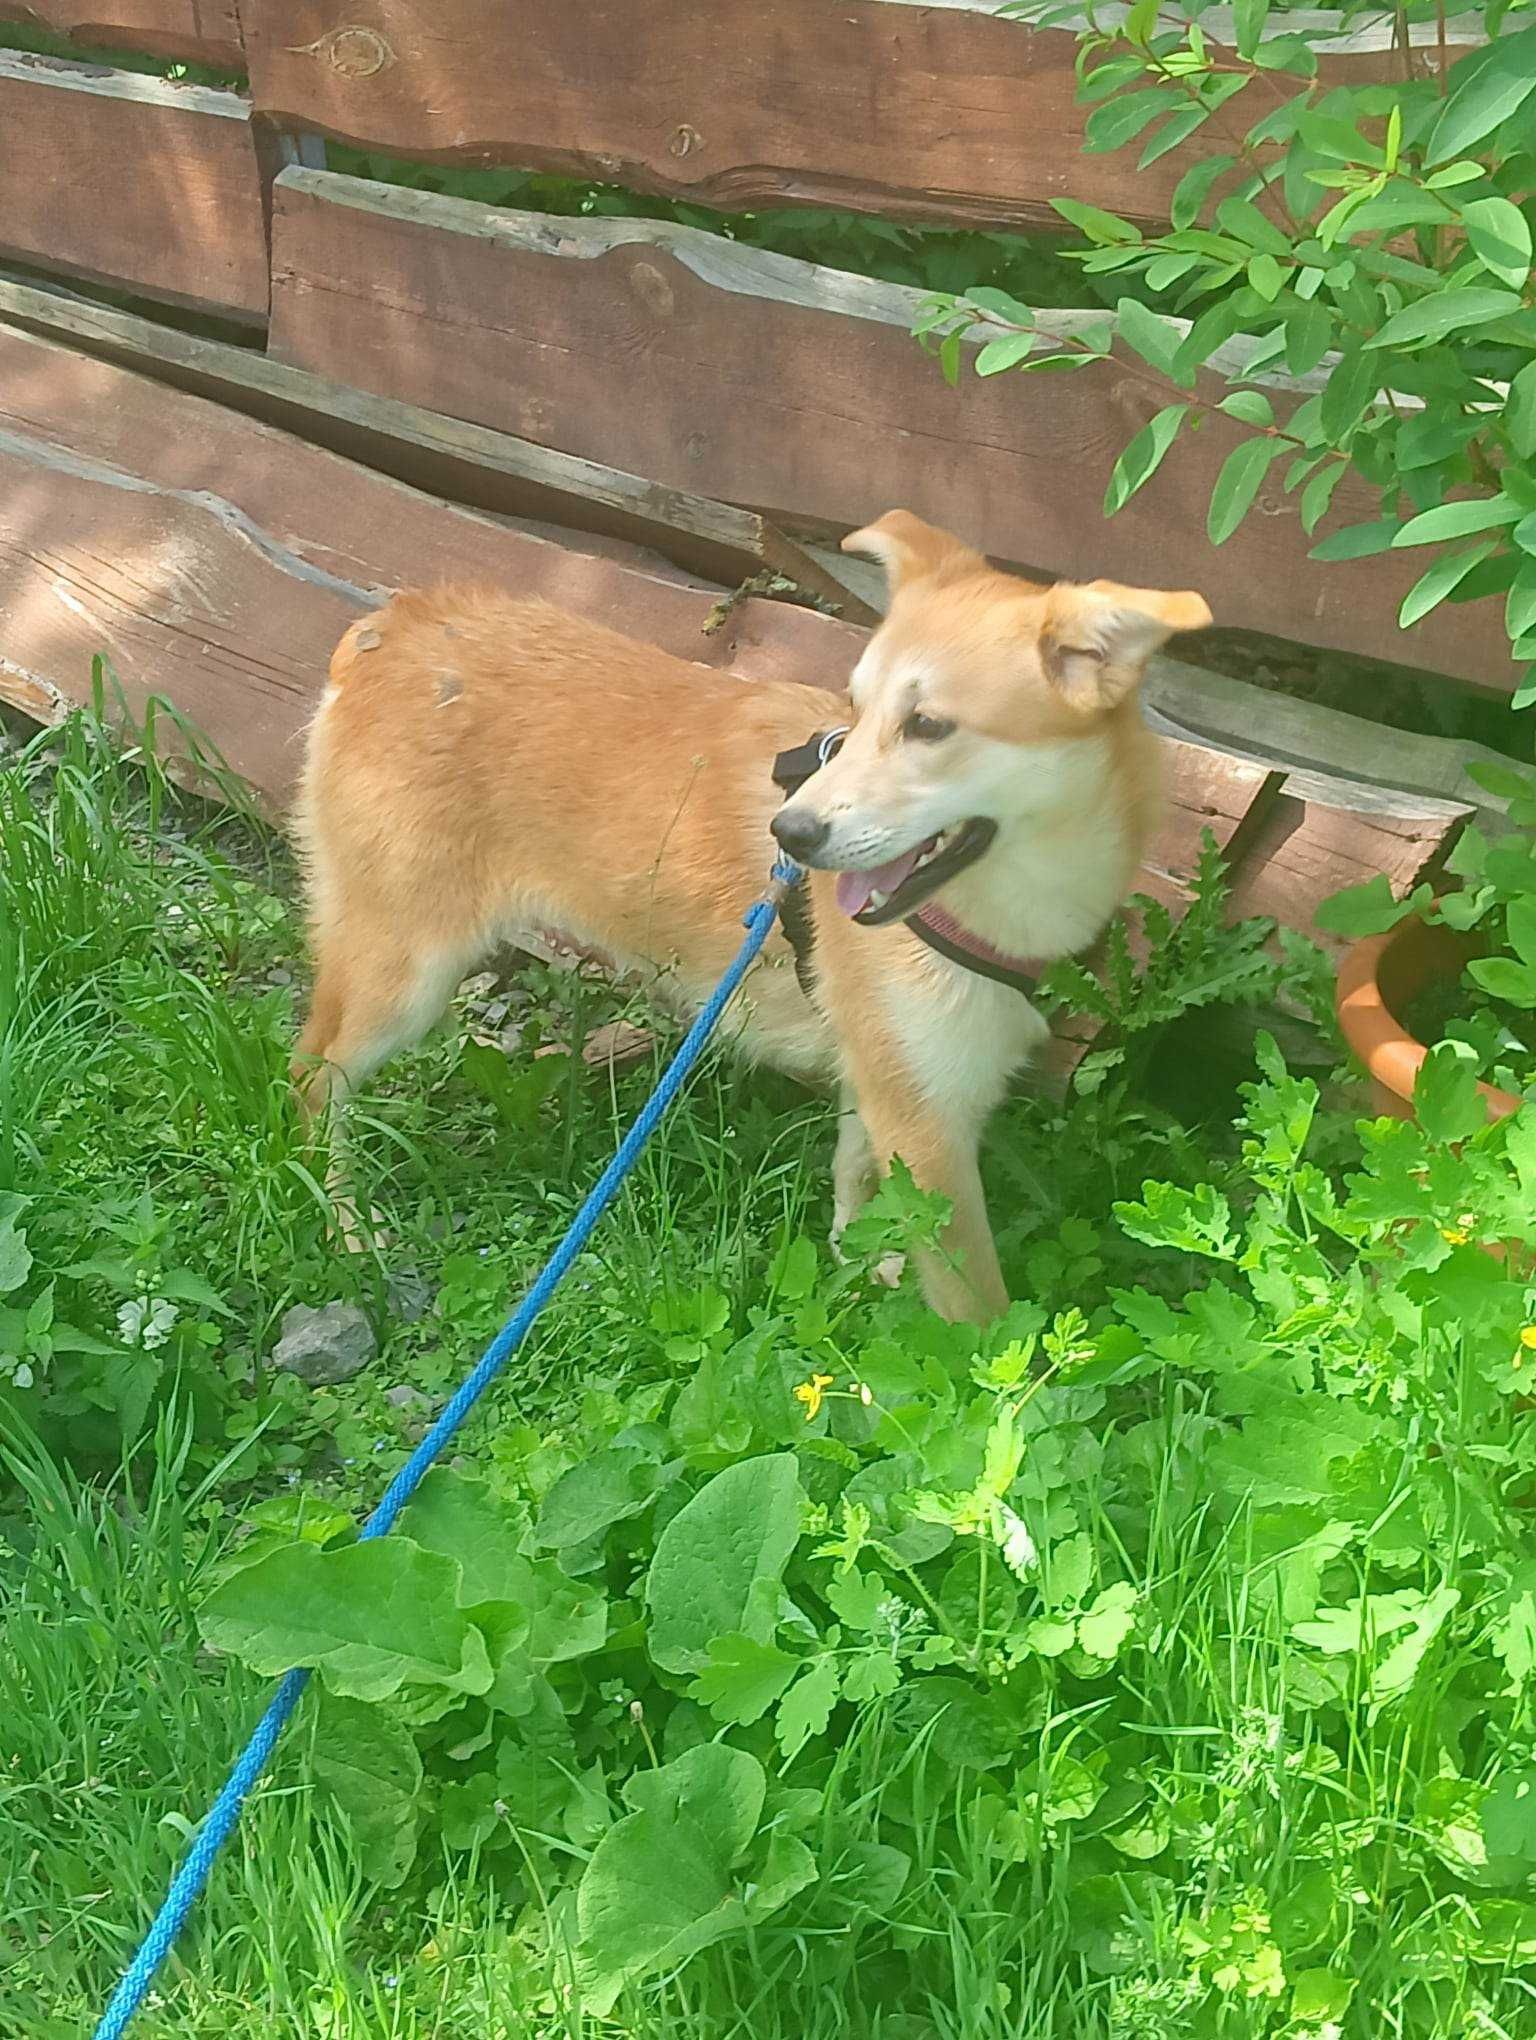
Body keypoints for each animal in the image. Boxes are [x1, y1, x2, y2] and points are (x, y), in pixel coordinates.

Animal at [289, 510, 1207, 1321]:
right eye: (857, 711)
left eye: (928, 725)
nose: (789, 834)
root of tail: (396, 623)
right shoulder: (931, 1133)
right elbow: (977, 1319)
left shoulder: (885, 1084)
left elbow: (860, 1195)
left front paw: (862, 1278)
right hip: (398, 978)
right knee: (310, 1079)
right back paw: (341, 1225)